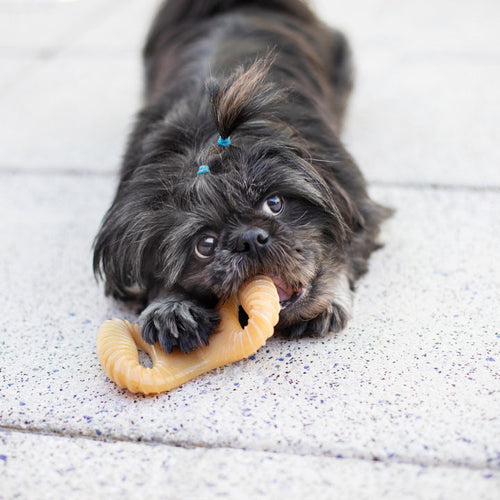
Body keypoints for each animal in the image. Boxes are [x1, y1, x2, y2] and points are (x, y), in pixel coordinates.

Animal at [94, 0, 390, 354]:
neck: (206, 141)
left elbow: (341, 251)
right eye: (205, 245)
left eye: (274, 203)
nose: (250, 238)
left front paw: (329, 296)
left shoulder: (358, 203)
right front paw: (170, 307)